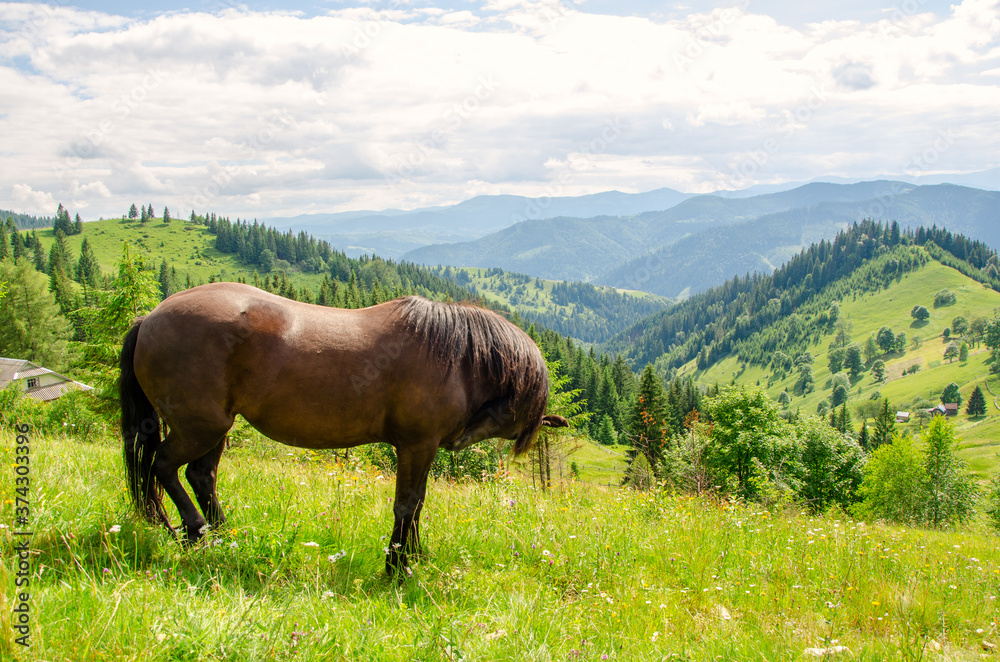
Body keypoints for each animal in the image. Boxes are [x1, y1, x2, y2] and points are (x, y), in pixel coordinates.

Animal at [121, 282, 568, 572]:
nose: (461, 441)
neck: (456, 356)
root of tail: (150, 318)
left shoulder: (422, 448)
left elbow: (418, 503)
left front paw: (412, 556)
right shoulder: (416, 445)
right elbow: (407, 504)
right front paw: (397, 566)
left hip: (217, 428)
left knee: (201, 474)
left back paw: (224, 536)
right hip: (200, 427)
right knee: (163, 465)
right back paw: (196, 531)